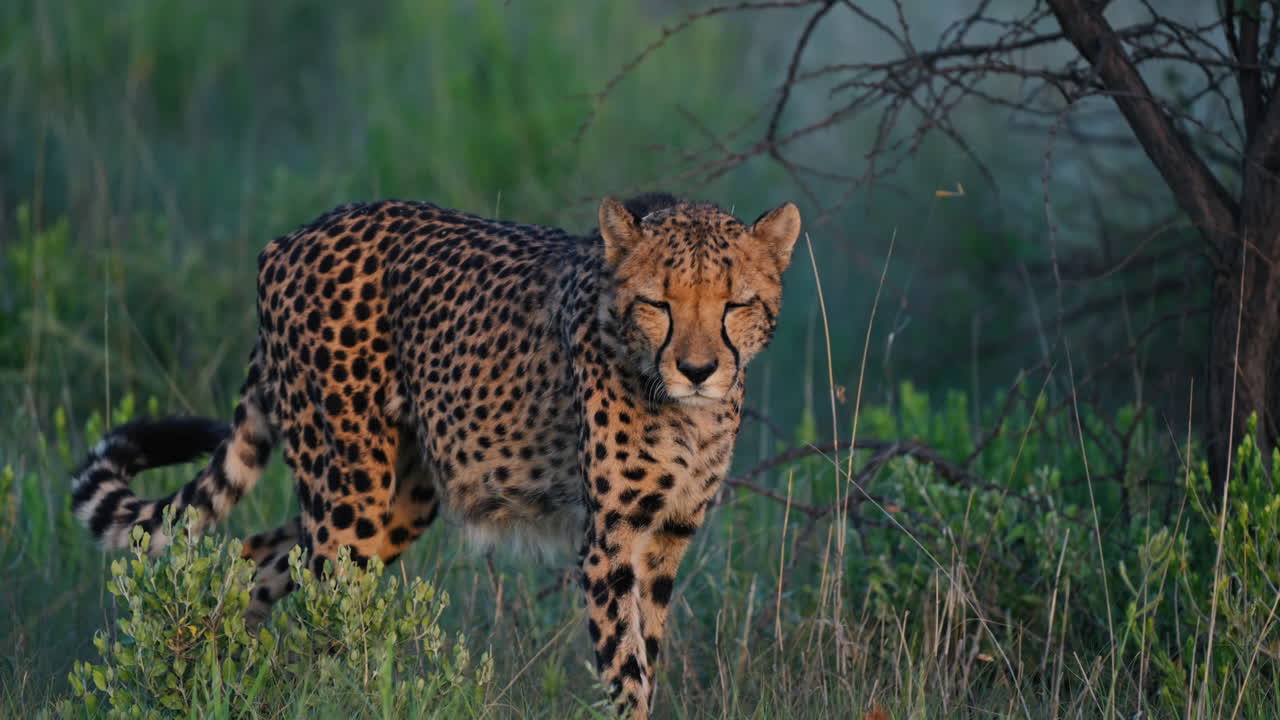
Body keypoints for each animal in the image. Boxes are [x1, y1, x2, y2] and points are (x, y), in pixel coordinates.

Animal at [70, 191, 800, 718]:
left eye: (736, 304)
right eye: (657, 303)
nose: (699, 370)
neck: (683, 410)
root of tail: (295, 236)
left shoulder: (666, 536)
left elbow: (645, 651)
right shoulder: (610, 538)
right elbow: (626, 669)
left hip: (397, 500)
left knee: (255, 558)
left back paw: (228, 677)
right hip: (351, 491)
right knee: (316, 597)